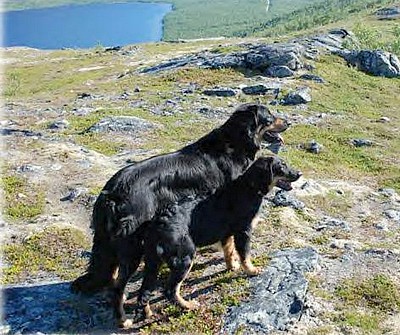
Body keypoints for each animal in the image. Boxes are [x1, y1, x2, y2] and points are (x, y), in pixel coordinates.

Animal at [139, 158, 302, 320]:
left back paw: (147, 314)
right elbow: (245, 254)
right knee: (170, 290)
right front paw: (251, 270)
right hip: (184, 257)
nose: (299, 173)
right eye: (281, 166)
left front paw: (232, 267)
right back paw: (188, 306)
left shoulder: (227, 234)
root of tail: (157, 223)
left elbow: (229, 252)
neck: (249, 187)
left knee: (143, 294)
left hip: (153, 262)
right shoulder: (243, 232)